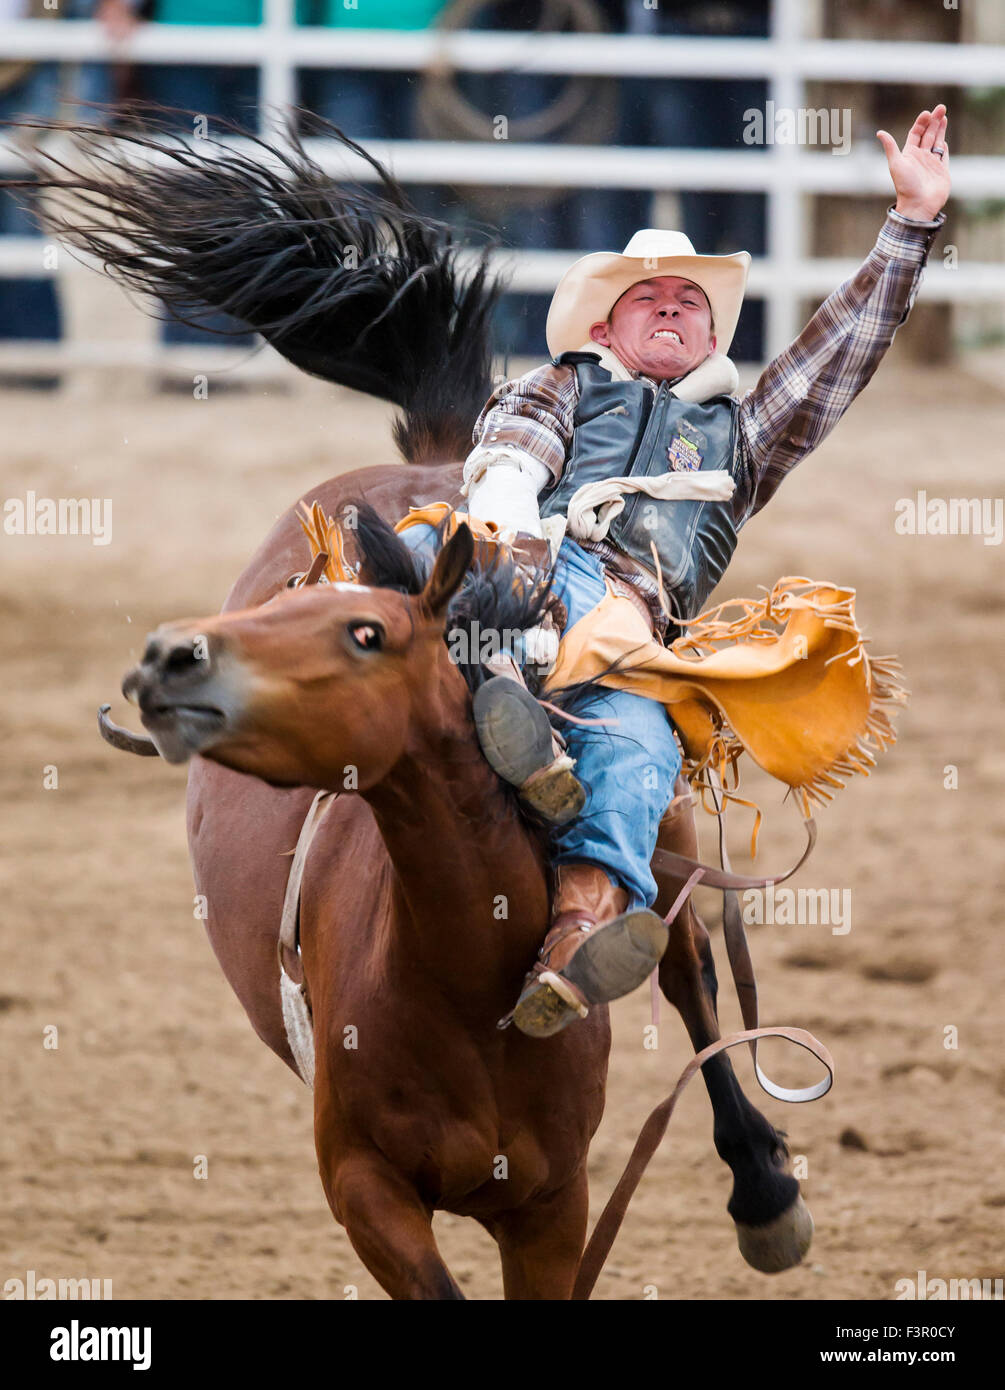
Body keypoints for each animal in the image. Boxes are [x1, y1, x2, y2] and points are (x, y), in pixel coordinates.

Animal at [12, 109, 812, 1297]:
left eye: (367, 633)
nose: (170, 660)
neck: (463, 980)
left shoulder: (553, 1210)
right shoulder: (364, 1193)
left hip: (666, 834)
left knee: (686, 965)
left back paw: (762, 1186)